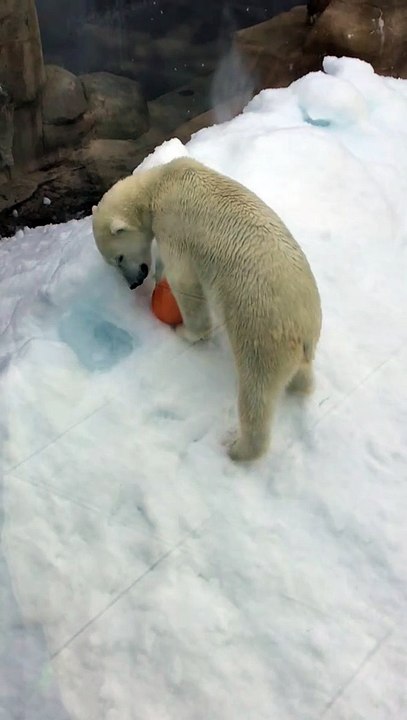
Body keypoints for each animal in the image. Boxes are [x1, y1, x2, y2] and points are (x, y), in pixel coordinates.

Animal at [92, 157, 322, 462]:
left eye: (118, 258)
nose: (133, 283)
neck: (159, 183)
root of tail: (305, 326)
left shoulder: (172, 224)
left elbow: (185, 283)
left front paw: (183, 328)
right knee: (300, 375)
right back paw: (300, 386)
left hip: (262, 331)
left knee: (256, 390)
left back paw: (237, 448)